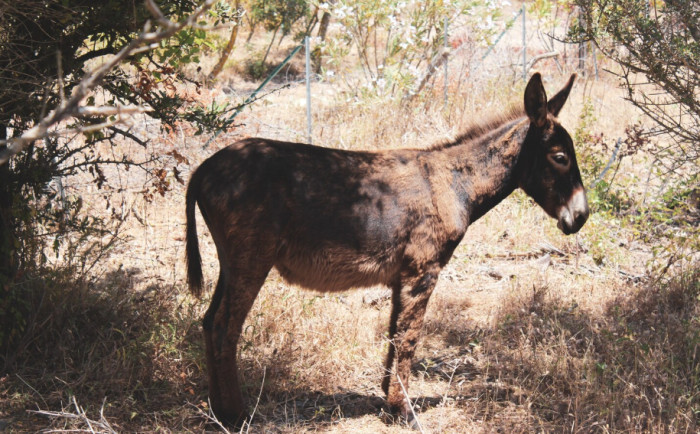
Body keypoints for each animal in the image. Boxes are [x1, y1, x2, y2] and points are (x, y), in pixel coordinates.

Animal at [185, 73, 589, 427]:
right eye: (559, 157)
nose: (581, 217)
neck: (454, 184)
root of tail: (203, 169)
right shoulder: (423, 271)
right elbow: (409, 339)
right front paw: (404, 411)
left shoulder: (402, 277)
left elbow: (395, 334)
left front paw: (390, 401)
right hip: (251, 260)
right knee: (223, 327)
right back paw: (237, 416)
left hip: (231, 263)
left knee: (208, 321)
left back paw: (217, 409)